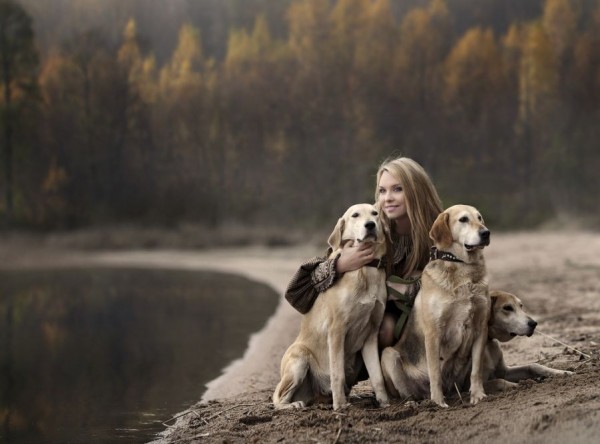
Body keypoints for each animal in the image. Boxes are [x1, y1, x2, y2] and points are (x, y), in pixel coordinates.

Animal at [272, 203, 390, 412]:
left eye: (375, 213)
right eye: (355, 215)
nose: (370, 225)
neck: (365, 268)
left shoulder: (371, 335)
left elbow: (377, 377)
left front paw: (385, 403)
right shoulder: (337, 330)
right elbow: (337, 373)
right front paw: (340, 405)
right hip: (299, 360)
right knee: (277, 398)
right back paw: (293, 405)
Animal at [382, 204, 490, 406]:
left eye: (479, 218)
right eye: (463, 219)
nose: (486, 233)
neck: (462, 267)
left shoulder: (481, 327)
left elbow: (477, 369)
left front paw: (478, 395)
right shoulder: (434, 332)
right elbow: (435, 372)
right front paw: (439, 402)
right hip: (388, 355)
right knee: (407, 392)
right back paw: (416, 403)